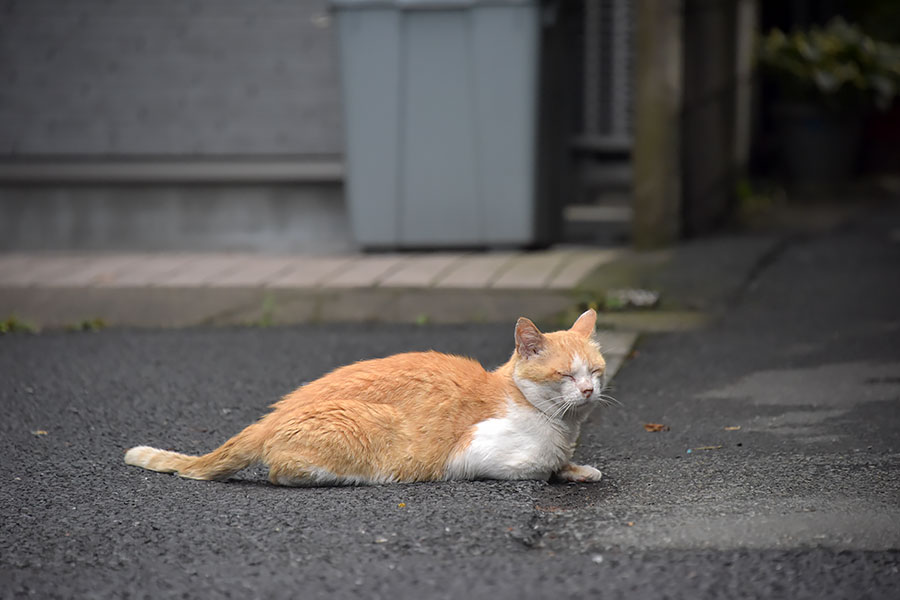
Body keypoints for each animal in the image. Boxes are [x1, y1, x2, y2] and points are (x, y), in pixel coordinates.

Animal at [123, 312, 608, 486]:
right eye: (566, 374)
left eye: (595, 372)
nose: (587, 391)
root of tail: (274, 414)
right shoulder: (477, 455)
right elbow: (537, 467)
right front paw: (561, 470)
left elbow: (565, 464)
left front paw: (578, 469)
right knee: (283, 472)